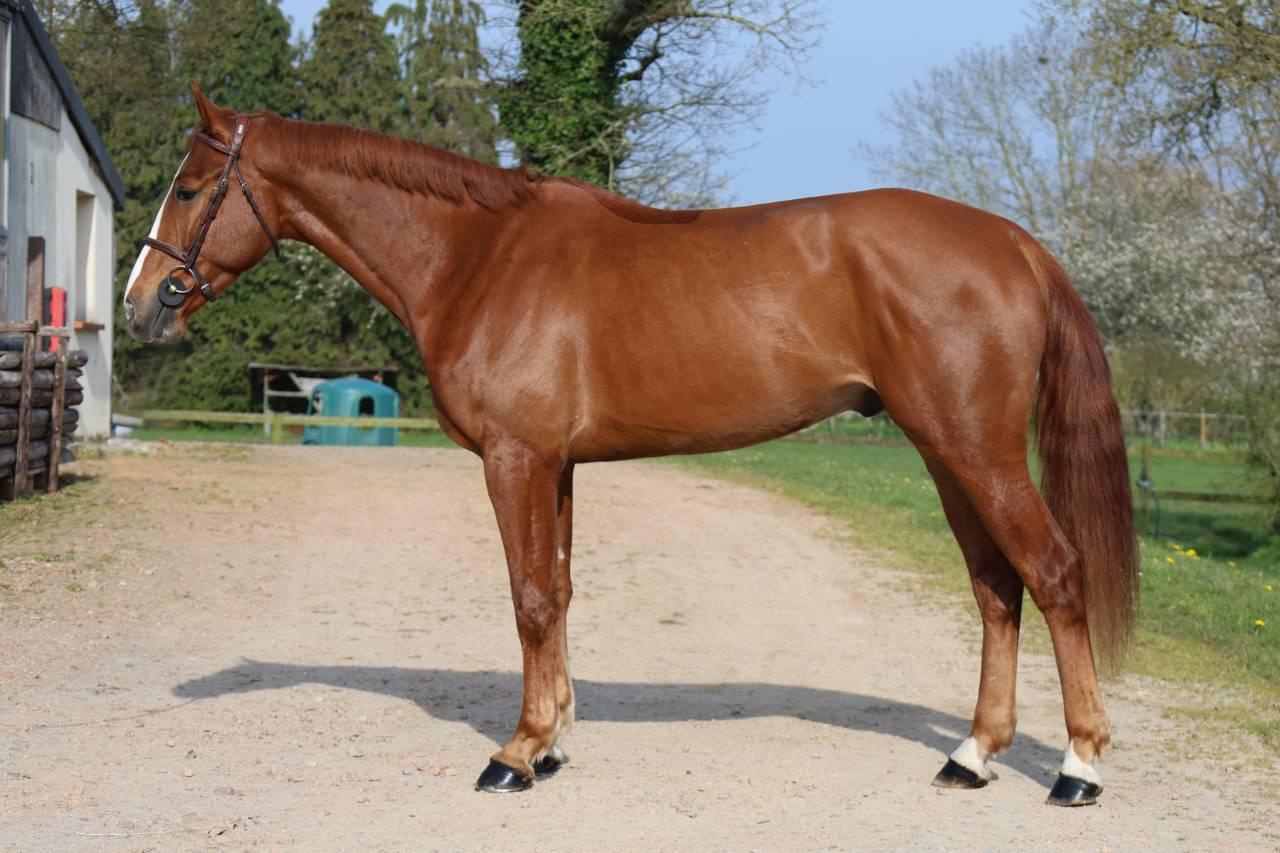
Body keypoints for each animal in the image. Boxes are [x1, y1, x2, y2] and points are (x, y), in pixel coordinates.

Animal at [124, 82, 1137, 805]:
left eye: (188, 188)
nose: (141, 306)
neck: (478, 255)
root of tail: (1014, 241)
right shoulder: (558, 466)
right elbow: (561, 592)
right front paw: (555, 741)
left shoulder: (516, 460)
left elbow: (530, 598)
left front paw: (516, 752)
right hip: (946, 452)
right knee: (997, 588)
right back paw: (972, 754)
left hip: (978, 452)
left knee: (1052, 573)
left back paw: (1079, 766)